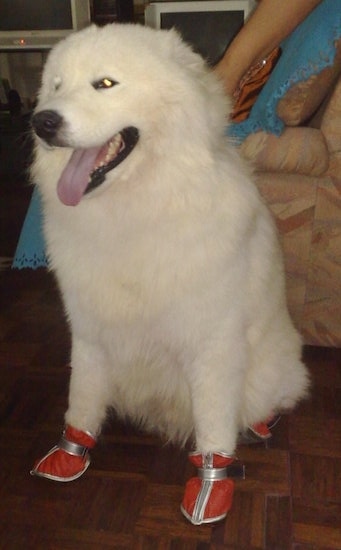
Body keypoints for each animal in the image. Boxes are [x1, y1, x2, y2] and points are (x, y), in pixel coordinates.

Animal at [31, 24, 308, 528]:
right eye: (57, 86)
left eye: (105, 84)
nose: (42, 122)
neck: (138, 208)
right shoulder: (91, 331)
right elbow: (83, 396)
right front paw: (71, 452)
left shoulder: (212, 343)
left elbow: (215, 421)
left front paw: (211, 483)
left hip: (270, 369)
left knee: (267, 398)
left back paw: (260, 422)